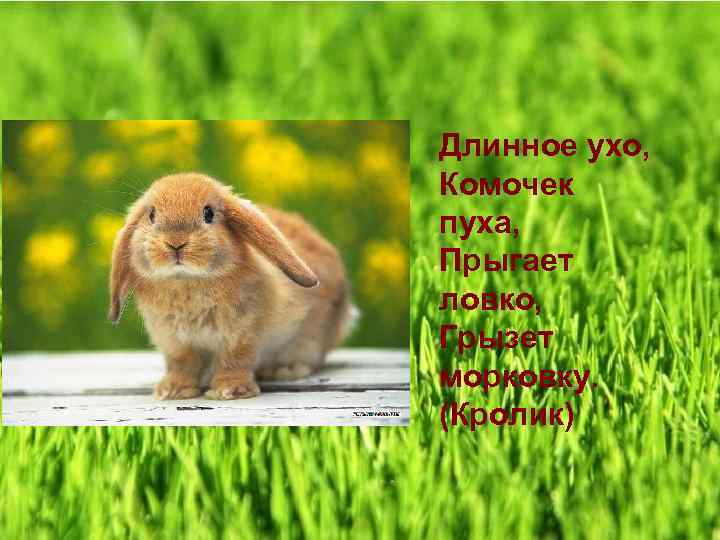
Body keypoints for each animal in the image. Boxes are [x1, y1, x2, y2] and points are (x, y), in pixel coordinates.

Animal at [108, 172, 356, 400]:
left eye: (208, 213)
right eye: (151, 215)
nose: (175, 243)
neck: (186, 281)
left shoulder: (242, 333)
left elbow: (234, 360)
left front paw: (230, 390)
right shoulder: (174, 342)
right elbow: (182, 364)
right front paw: (173, 391)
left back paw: (283, 370)